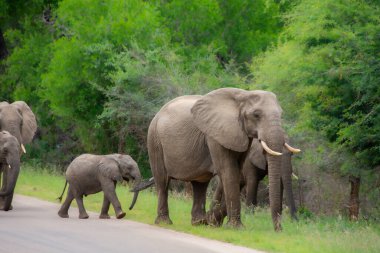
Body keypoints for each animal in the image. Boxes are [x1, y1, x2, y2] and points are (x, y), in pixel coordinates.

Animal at [146, 87, 296, 231]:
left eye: (281, 114)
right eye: (256, 115)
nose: (279, 230)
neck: (243, 95)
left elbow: (236, 173)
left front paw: (213, 221)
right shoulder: (215, 135)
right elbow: (229, 171)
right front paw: (235, 227)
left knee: (200, 184)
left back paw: (199, 222)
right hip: (155, 140)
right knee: (162, 181)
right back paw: (165, 222)